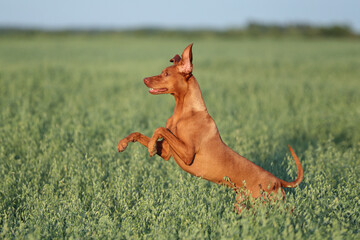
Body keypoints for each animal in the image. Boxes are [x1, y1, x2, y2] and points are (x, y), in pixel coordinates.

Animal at [118, 43, 304, 208]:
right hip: (242, 205)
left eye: (166, 74)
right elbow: (139, 133)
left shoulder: (188, 154)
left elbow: (160, 129)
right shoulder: (166, 152)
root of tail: (277, 181)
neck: (183, 112)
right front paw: (123, 143)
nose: (144, 79)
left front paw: (150, 147)